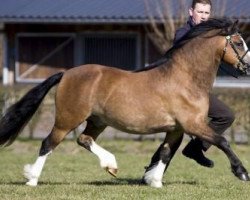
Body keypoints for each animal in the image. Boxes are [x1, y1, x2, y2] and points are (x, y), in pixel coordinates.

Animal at [0, 18, 249, 188]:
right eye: (238, 42)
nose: (247, 66)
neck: (185, 78)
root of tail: (66, 74)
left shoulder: (176, 128)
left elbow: (166, 152)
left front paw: (154, 181)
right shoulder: (193, 125)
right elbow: (223, 141)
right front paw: (242, 172)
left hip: (97, 121)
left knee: (84, 139)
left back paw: (110, 165)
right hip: (67, 119)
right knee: (48, 144)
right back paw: (32, 179)